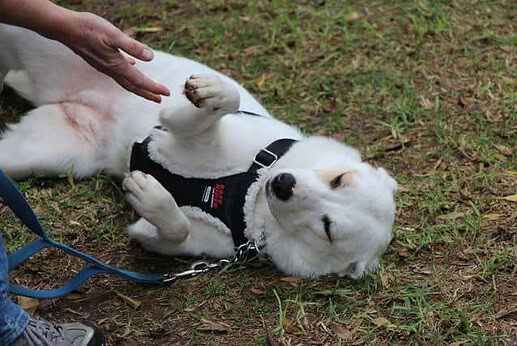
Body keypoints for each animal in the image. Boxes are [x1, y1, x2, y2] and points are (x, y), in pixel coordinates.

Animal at [0, 24, 396, 278]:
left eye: (327, 227)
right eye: (339, 179)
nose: (283, 184)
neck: (248, 195)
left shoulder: (171, 240)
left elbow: (174, 229)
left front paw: (150, 196)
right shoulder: (194, 129)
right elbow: (220, 104)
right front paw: (210, 92)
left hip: (39, 152)